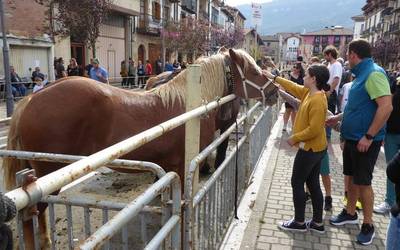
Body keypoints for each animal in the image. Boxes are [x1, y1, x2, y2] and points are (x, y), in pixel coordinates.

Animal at [2, 48, 278, 248]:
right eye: (254, 71)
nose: (276, 91)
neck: (191, 107)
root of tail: (31, 98)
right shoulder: (184, 166)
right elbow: (183, 206)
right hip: (46, 175)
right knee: (32, 213)